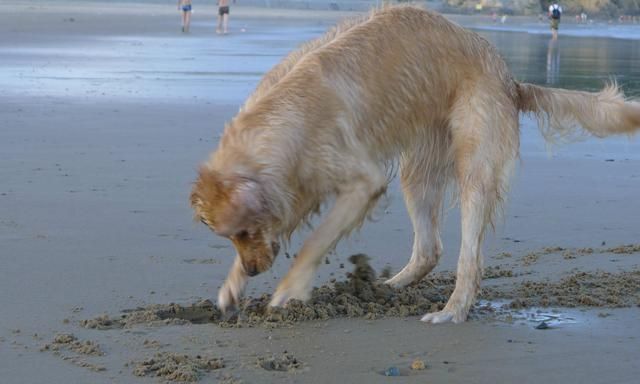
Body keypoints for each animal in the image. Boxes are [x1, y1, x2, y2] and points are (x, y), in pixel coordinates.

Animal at [190, 6, 640, 324]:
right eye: (231, 235)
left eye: (244, 230)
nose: (254, 270)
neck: (286, 118)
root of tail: (511, 79)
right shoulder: (300, 187)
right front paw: (232, 286)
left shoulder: (362, 183)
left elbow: (314, 243)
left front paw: (288, 293)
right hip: (417, 171)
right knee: (428, 249)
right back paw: (385, 289)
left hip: (475, 163)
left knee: (468, 257)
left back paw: (452, 310)